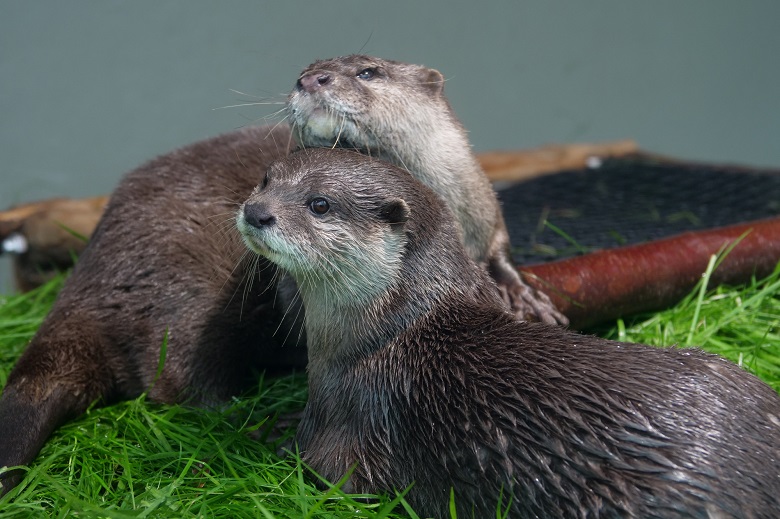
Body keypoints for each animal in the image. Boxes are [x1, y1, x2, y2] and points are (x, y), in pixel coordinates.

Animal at [239, 146, 780, 519]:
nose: (256, 212)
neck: (389, 333)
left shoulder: (356, 422)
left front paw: (265, 433)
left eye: (319, 204)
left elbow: (320, 470)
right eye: (264, 180)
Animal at [286, 54, 568, 328]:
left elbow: (500, 249)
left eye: (367, 72)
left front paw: (526, 296)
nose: (310, 79)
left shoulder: (485, 209)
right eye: (302, 73)